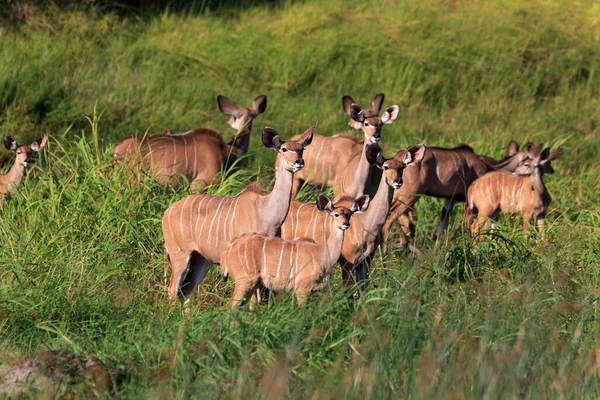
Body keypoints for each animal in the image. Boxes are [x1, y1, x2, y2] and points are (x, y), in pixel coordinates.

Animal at [162, 123, 316, 302]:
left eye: (301, 149)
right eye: (283, 149)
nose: (299, 162)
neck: (266, 212)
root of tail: (168, 212)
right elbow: (254, 299)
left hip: (202, 259)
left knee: (187, 289)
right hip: (180, 254)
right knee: (173, 289)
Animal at [220, 194, 368, 306]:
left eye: (350, 214)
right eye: (336, 214)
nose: (345, 224)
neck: (321, 253)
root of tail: (227, 251)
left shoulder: (318, 290)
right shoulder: (302, 288)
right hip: (245, 281)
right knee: (230, 306)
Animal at [282, 144, 426, 288]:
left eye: (402, 167)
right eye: (386, 167)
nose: (398, 181)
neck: (366, 224)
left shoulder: (366, 260)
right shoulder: (347, 261)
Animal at [382, 141, 528, 253]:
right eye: (527, 160)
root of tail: (399, 157)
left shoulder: (450, 200)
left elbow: (443, 225)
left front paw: (437, 252)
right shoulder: (470, 204)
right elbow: (471, 225)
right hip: (409, 195)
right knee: (392, 217)